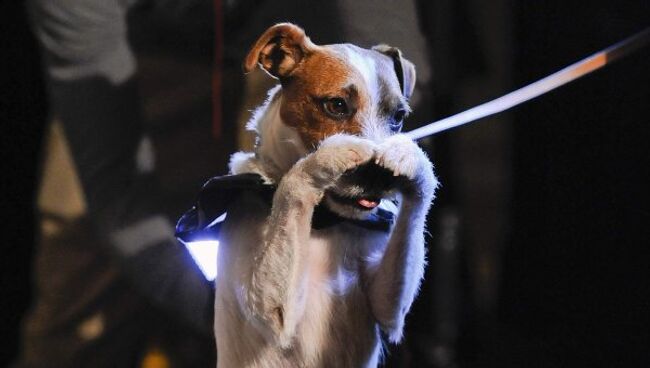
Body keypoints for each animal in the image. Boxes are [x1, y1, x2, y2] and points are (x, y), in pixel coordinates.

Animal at [215, 23, 438, 368]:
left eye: (399, 116)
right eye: (336, 105)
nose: (378, 175)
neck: (323, 222)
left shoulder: (387, 305)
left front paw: (410, 158)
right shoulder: (271, 308)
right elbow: (296, 180)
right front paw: (327, 156)